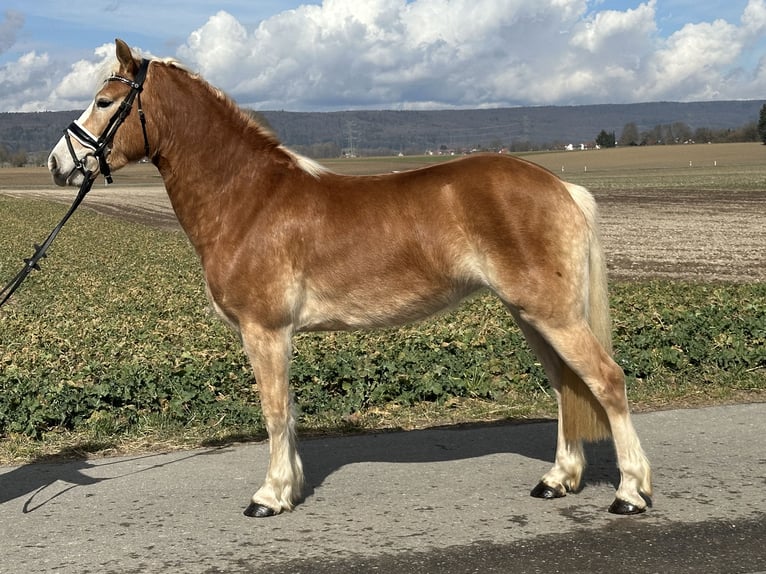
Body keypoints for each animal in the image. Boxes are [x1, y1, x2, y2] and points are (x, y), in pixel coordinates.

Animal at [46, 38, 656, 520]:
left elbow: (274, 412)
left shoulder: (265, 330)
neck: (249, 198)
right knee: (568, 386)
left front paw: (269, 496)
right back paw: (558, 480)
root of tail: (561, 187)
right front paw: (290, 488)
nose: (57, 163)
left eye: (104, 101)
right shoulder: (275, 335)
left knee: (607, 380)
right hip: (531, 314)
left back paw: (630, 493)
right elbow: (288, 413)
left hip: (552, 314)